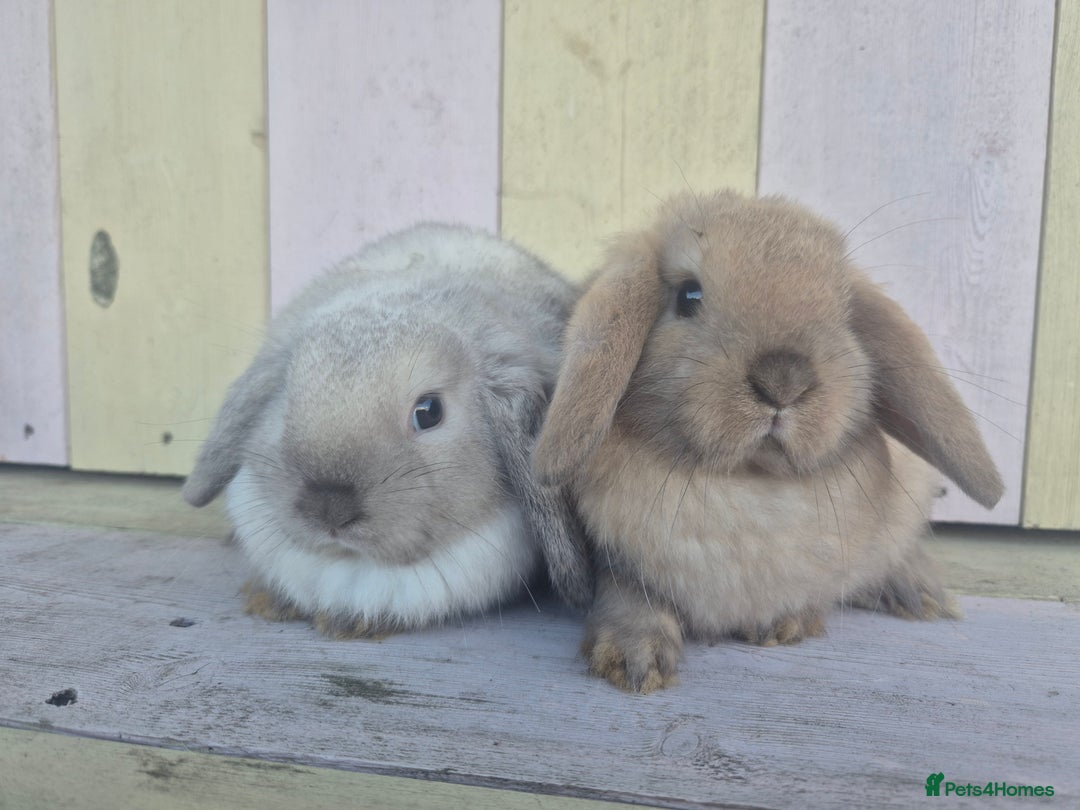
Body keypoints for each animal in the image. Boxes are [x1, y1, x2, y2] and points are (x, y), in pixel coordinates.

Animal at [533, 190, 1004, 692]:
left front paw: (784, 624)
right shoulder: (621, 564)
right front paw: (633, 661)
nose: (784, 380)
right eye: (688, 295)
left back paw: (920, 593)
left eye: (845, 314)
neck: (749, 480)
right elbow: (628, 596)